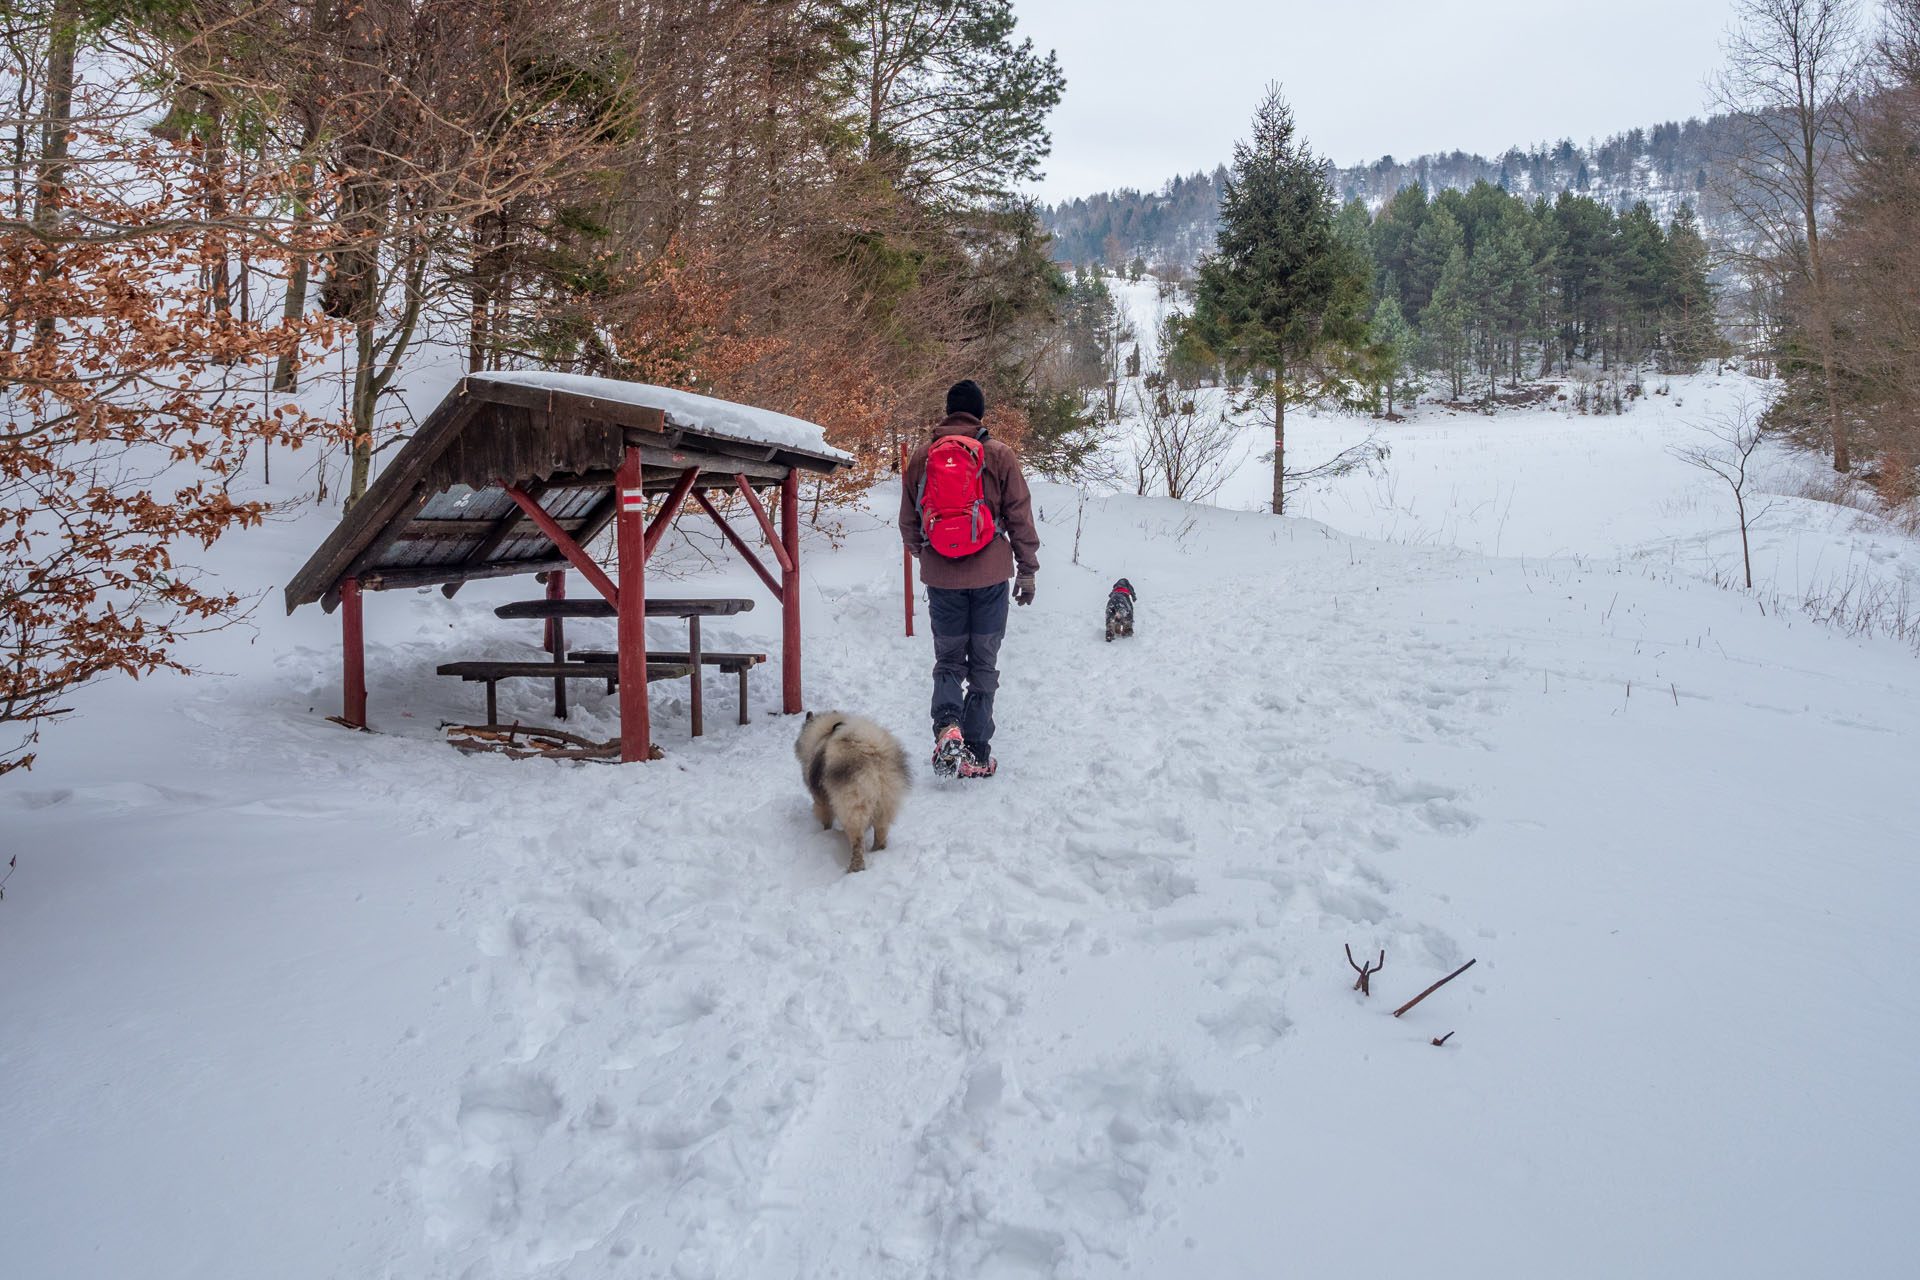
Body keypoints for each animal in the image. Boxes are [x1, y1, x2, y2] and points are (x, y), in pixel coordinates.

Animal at [798, 706, 910, 875]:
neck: (824, 733)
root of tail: (874, 753)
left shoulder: (821, 802)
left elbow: (826, 820)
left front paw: (825, 833)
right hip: (885, 804)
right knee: (881, 834)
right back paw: (877, 851)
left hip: (852, 806)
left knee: (857, 841)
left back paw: (855, 867)